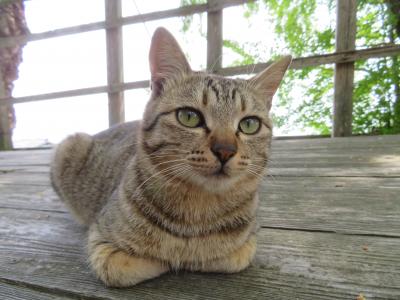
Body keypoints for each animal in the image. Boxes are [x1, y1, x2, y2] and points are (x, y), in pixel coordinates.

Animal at [51, 27, 292, 286]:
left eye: (249, 124)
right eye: (189, 116)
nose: (225, 150)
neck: (197, 211)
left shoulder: (247, 243)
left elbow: (229, 256)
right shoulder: (101, 241)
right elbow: (139, 263)